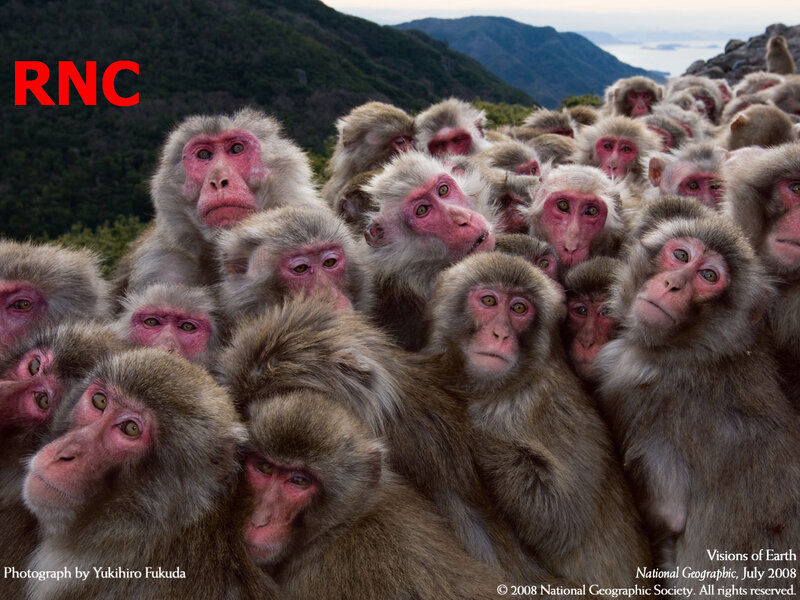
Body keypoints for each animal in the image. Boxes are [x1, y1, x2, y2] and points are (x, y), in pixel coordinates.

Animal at [423, 252, 653, 592]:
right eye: (489, 301)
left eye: (519, 309)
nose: (500, 334)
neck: (504, 385)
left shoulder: (542, 405)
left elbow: (559, 520)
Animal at [595, 214, 800, 596]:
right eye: (680, 255)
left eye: (709, 276)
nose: (673, 283)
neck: (704, 351)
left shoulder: (631, 381)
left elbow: (670, 511)